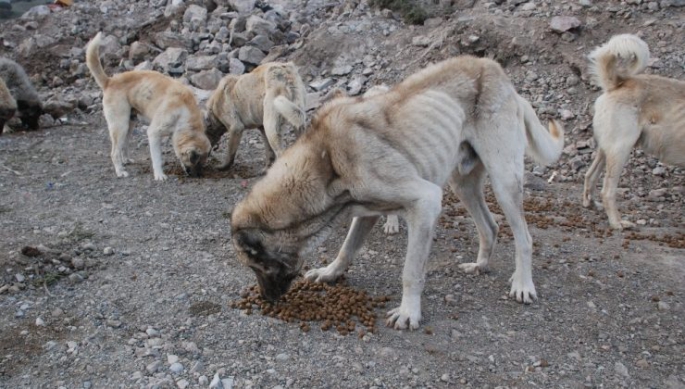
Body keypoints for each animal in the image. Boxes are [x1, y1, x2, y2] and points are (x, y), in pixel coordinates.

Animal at [87, 32, 212, 180]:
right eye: (196, 162)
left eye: (203, 163)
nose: (198, 176)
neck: (184, 112)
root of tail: (109, 81)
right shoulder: (153, 133)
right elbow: (157, 158)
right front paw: (159, 175)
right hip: (120, 125)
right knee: (114, 152)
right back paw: (120, 171)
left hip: (129, 124)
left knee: (124, 145)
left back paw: (126, 160)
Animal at [228, 53, 560, 328]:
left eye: (256, 265)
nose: (267, 300)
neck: (325, 160)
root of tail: (496, 69)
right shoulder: (366, 212)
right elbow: (346, 248)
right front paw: (330, 273)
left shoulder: (425, 202)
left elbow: (411, 272)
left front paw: (409, 312)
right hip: (463, 184)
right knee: (490, 227)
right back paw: (480, 265)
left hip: (504, 182)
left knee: (524, 237)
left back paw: (523, 284)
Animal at [584, 34, 684, 230]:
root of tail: (618, 83)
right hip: (620, 150)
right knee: (607, 191)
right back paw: (617, 222)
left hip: (607, 150)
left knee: (589, 176)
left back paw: (591, 204)